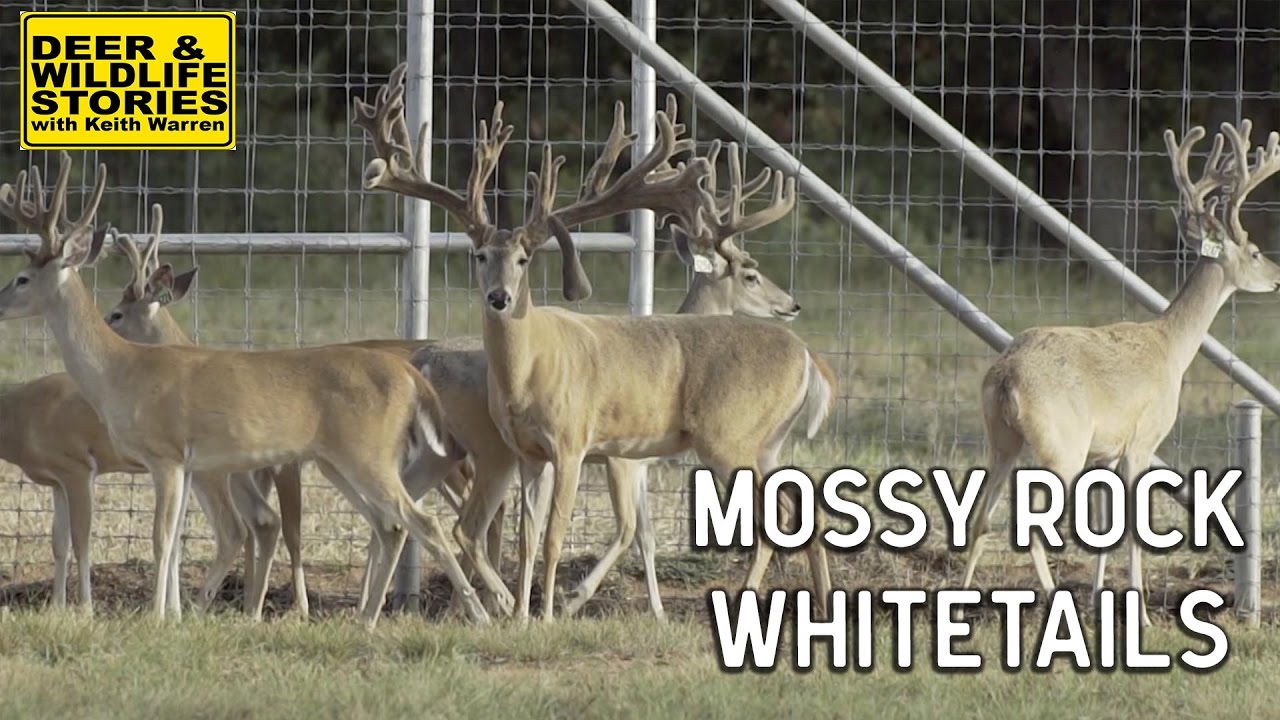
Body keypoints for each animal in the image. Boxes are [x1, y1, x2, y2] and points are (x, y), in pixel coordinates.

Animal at [0, 150, 490, 627]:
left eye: (22, 278)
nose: (0, 302)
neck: (121, 372)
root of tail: (411, 376)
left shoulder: (166, 454)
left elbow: (163, 539)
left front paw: (156, 618)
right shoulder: (188, 465)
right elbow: (176, 542)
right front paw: (173, 615)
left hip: (367, 453)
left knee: (423, 521)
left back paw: (479, 613)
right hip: (342, 460)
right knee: (392, 525)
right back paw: (368, 619)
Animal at [357, 63, 836, 621]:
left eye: (524, 259)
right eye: (478, 255)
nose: (499, 297)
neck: (528, 371)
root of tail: (809, 358)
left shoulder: (578, 444)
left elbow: (562, 535)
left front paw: (548, 612)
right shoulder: (547, 452)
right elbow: (544, 535)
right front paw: (536, 612)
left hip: (732, 438)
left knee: (783, 516)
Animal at [962, 119, 1280, 626]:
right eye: (1252, 250)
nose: (1276, 275)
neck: (1171, 347)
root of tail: (1006, 375)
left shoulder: (1105, 453)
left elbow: (1106, 529)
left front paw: (1100, 600)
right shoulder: (1142, 440)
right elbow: (1132, 529)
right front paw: (1143, 616)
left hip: (1002, 439)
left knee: (979, 518)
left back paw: (957, 601)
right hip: (1060, 446)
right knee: (1029, 528)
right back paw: (1054, 603)